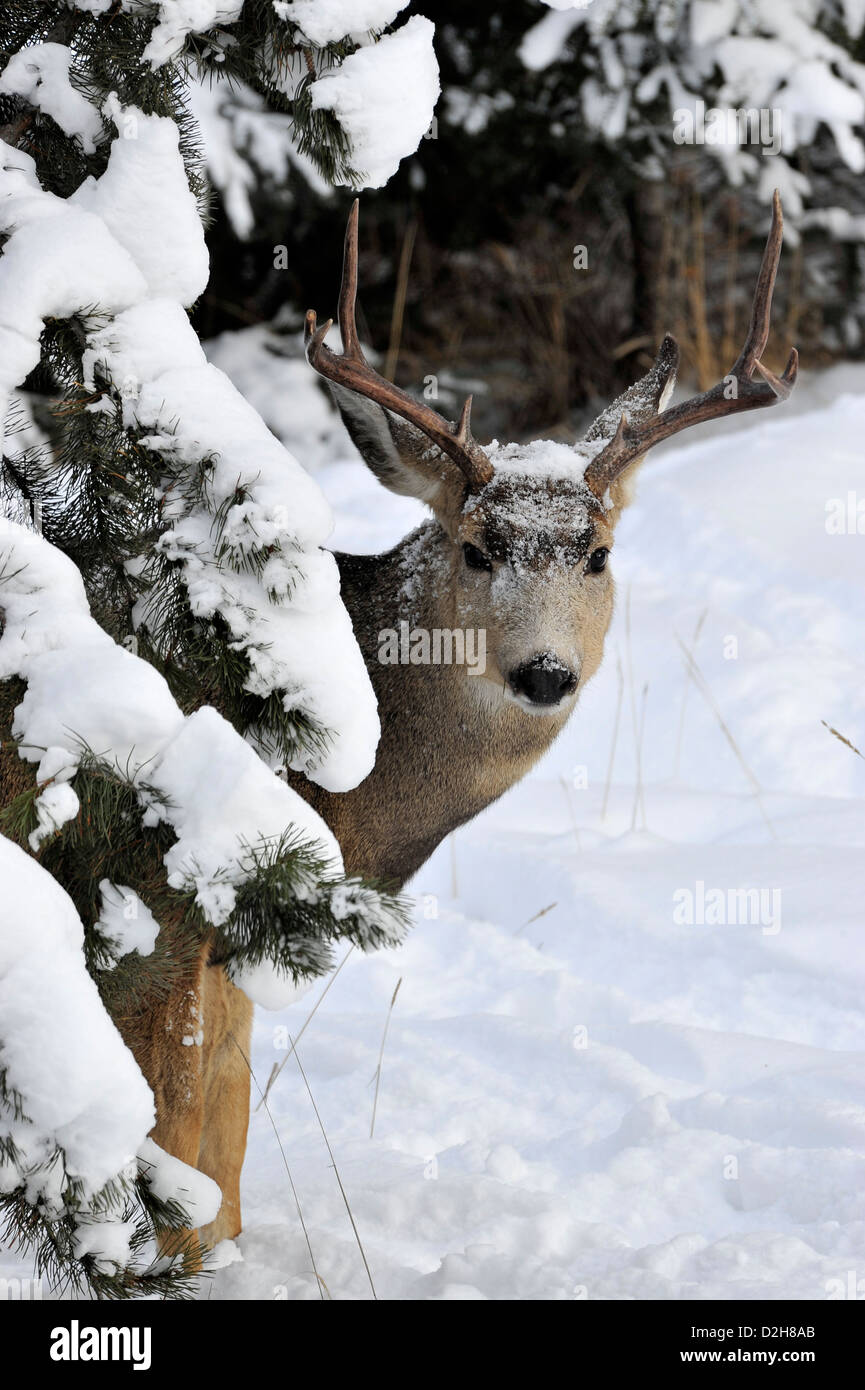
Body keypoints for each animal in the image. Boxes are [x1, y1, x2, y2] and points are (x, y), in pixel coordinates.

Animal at [120, 192, 798, 1257]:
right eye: (479, 548)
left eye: (597, 553)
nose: (545, 671)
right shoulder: (172, 898)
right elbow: (176, 1134)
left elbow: (221, 1148)